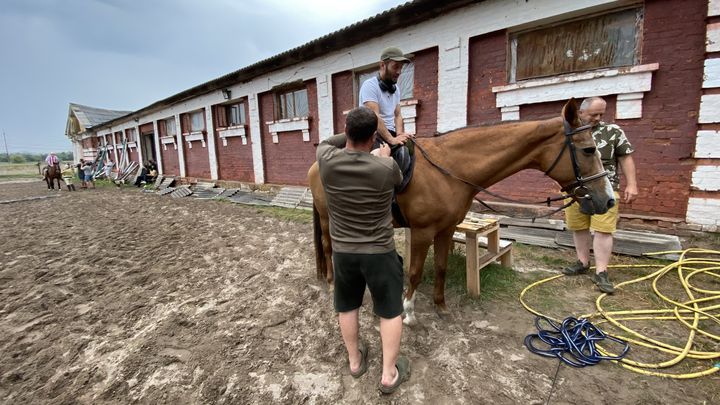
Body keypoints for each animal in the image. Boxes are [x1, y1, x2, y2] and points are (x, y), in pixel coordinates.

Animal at [306, 98, 616, 326]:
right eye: (589, 150)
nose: (608, 200)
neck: (450, 168)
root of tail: (318, 162)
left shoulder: (446, 229)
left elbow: (441, 267)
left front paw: (441, 307)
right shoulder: (422, 232)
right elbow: (416, 272)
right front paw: (409, 313)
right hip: (327, 218)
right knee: (328, 247)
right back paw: (331, 283)